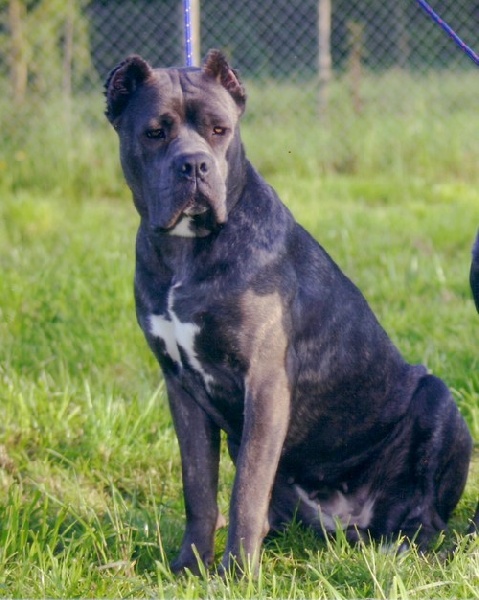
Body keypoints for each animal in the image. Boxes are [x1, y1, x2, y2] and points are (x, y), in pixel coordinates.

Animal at [105, 50, 473, 575]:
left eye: (219, 129)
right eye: (155, 132)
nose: (194, 165)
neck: (187, 251)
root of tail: (347, 524)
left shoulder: (264, 384)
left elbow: (245, 489)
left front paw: (236, 574)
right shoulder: (181, 388)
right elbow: (199, 488)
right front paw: (189, 566)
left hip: (438, 402)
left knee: (427, 517)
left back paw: (403, 546)